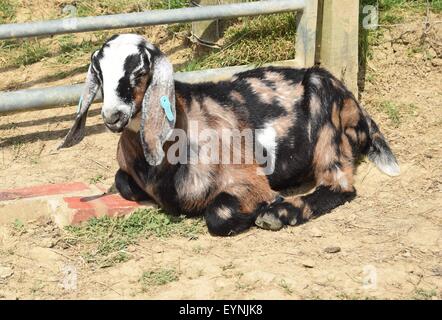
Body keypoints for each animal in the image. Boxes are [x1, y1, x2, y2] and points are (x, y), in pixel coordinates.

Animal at [59, 34, 400, 235]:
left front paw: (267, 207)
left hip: (327, 121)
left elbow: (218, 215)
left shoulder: (248, 181)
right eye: (98, 72)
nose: (112, 116)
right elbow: (122, 183)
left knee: (340, 186)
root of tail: (359, 111)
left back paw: (280, 213)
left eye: (140, 71)